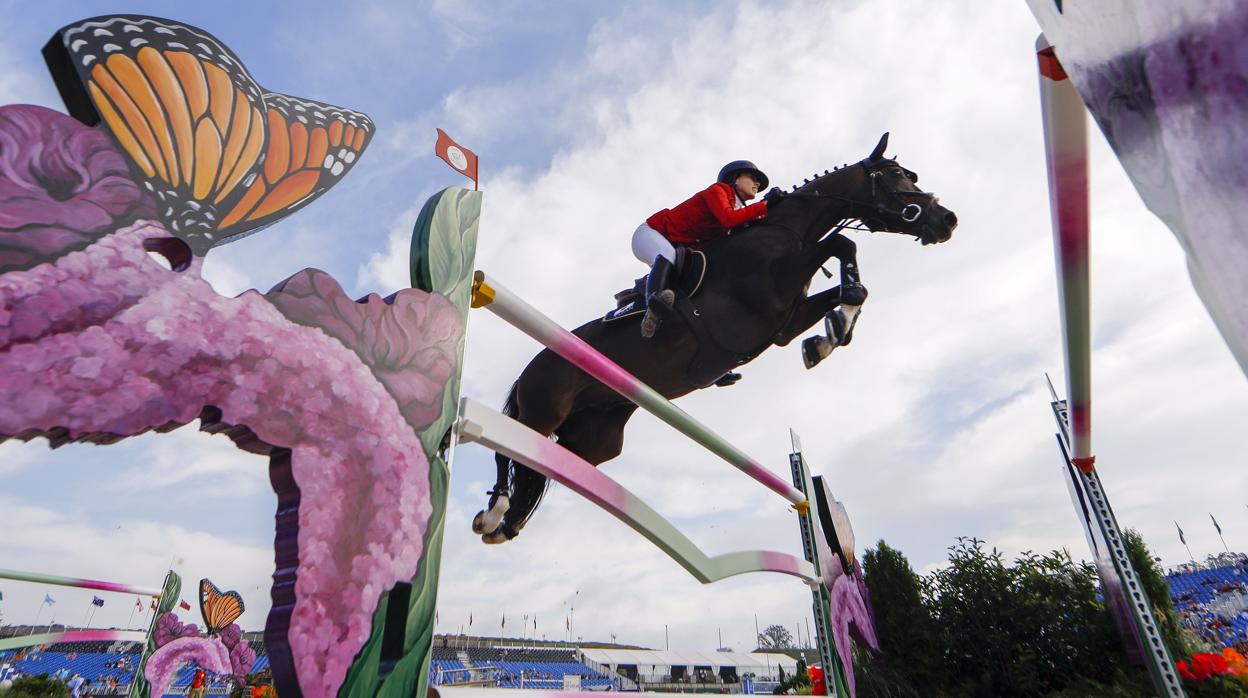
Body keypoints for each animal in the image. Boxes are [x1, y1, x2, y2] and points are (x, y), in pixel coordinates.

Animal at [471, 133, 958, 544]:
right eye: (896, 176)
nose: (947, 220)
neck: (782, 233)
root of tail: (531, 365)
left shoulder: (783, 323)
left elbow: (847, 284)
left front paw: (829, 336)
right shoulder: (761, 303)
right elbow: (842, 247)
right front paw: (833, 331)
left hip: (594, 440)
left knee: (536, 464)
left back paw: (509, 522)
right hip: (544, 405)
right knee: (507, 451)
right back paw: (494, 513)